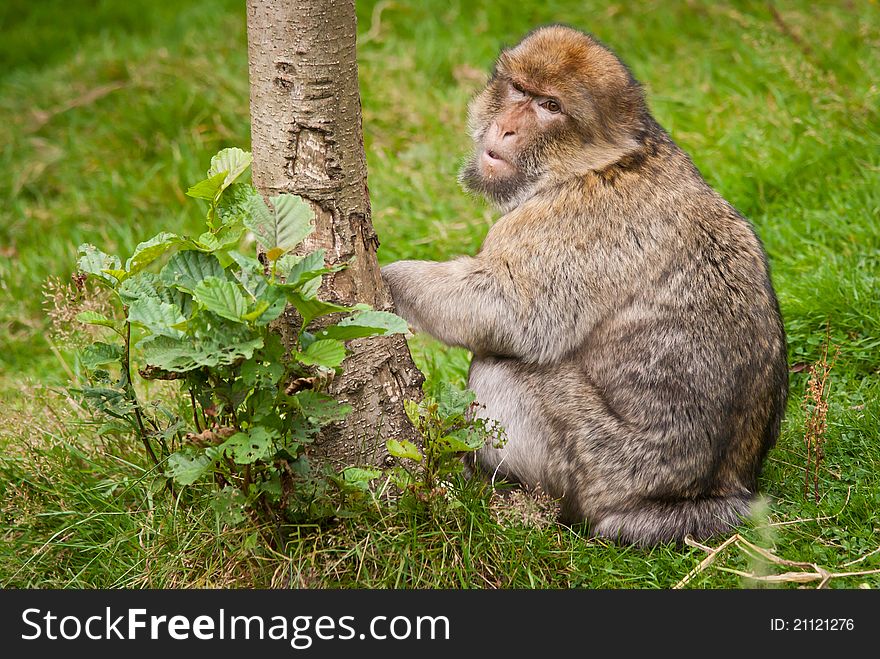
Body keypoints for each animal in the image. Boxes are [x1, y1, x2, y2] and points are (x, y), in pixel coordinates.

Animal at [382, 24, 788, 548]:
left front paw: (384, 280)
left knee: (502, 369)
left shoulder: (572, 220)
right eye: (519, 90)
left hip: (597, 464)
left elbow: (510, 311)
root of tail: (711, 492)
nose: (505, 128)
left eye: (550, 106)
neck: (603, 161)